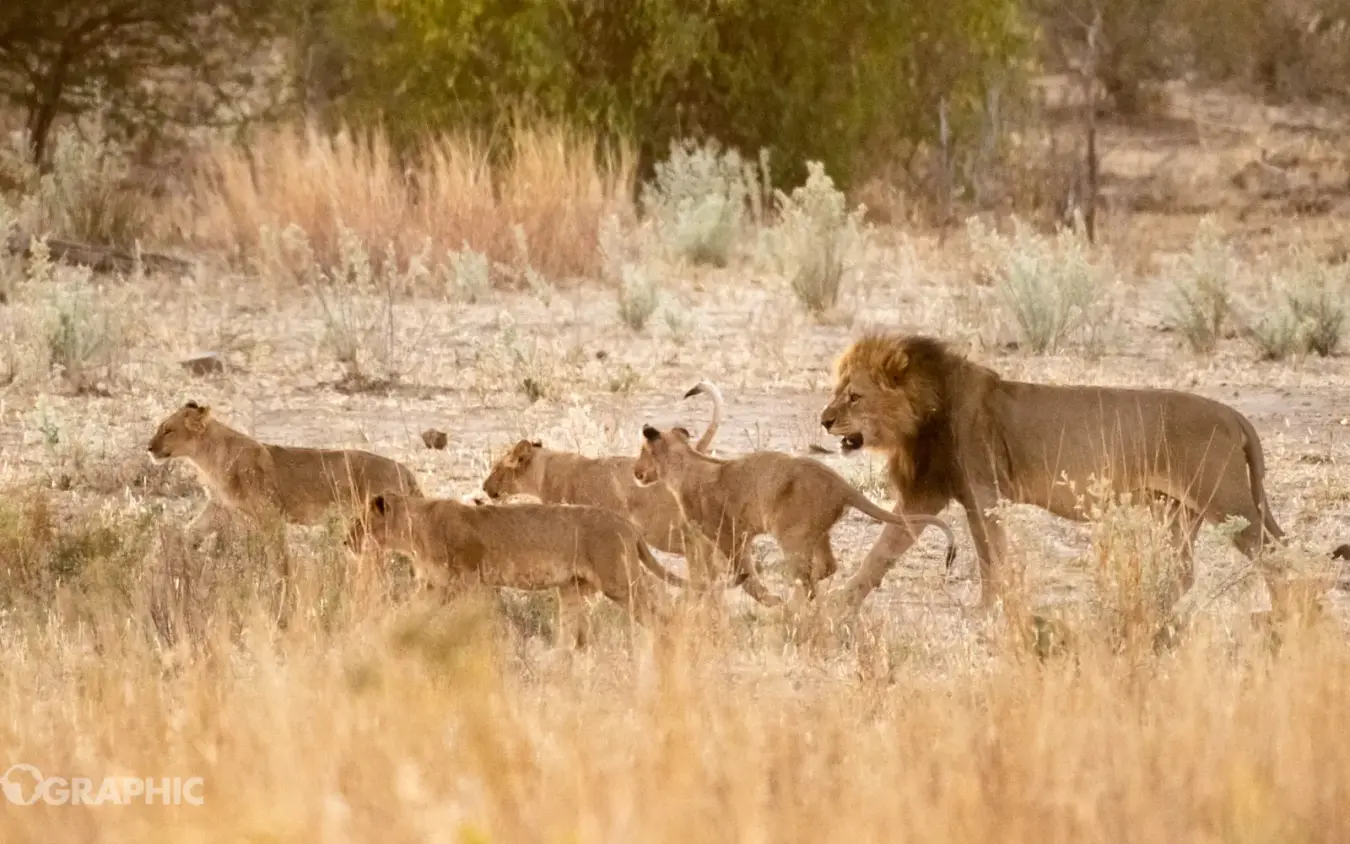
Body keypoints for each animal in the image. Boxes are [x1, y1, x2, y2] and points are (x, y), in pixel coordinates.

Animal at [148, 401, 422, 547]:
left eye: (168, 430)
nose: (148, 447)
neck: (207, 459)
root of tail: (405, 470)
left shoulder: (270, 515)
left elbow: (279, 560)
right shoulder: (220, 508)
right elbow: (190, 532)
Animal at [345, 492, 685, 646]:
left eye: (361, 521)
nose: (345, 539)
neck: (414, 531)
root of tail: (627, 523)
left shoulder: (465, 580)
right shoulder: (434, 585)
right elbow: (405, 613)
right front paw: (384, 634)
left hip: (619, 581)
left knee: (662, 615)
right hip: (571, 589)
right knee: (573, 639)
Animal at [633, 424, 959, 604]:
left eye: (641, 451)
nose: (636, 472)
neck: (683, 463)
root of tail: (838, 481)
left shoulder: (729, 534)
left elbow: (743, 574)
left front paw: (768, 600)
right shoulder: (737, 535)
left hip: (792, 534)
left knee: (810, 575)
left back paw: (796, 601)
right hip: (816, 532)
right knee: (827, 567)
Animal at [818, 333, 1348, 616]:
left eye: (854, 396)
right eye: (835, 390)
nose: (823, 420)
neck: (922, 411)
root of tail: (1234, 415)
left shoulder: (983, 493)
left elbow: (991, 556)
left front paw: (991, 610)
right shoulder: (931, 493)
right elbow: (883, 551)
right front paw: (841, 603)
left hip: (1228, 502)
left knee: (1276, 553)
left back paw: (1289, 611)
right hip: (1179, 512)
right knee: (1187, 572)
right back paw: (1146, 606)